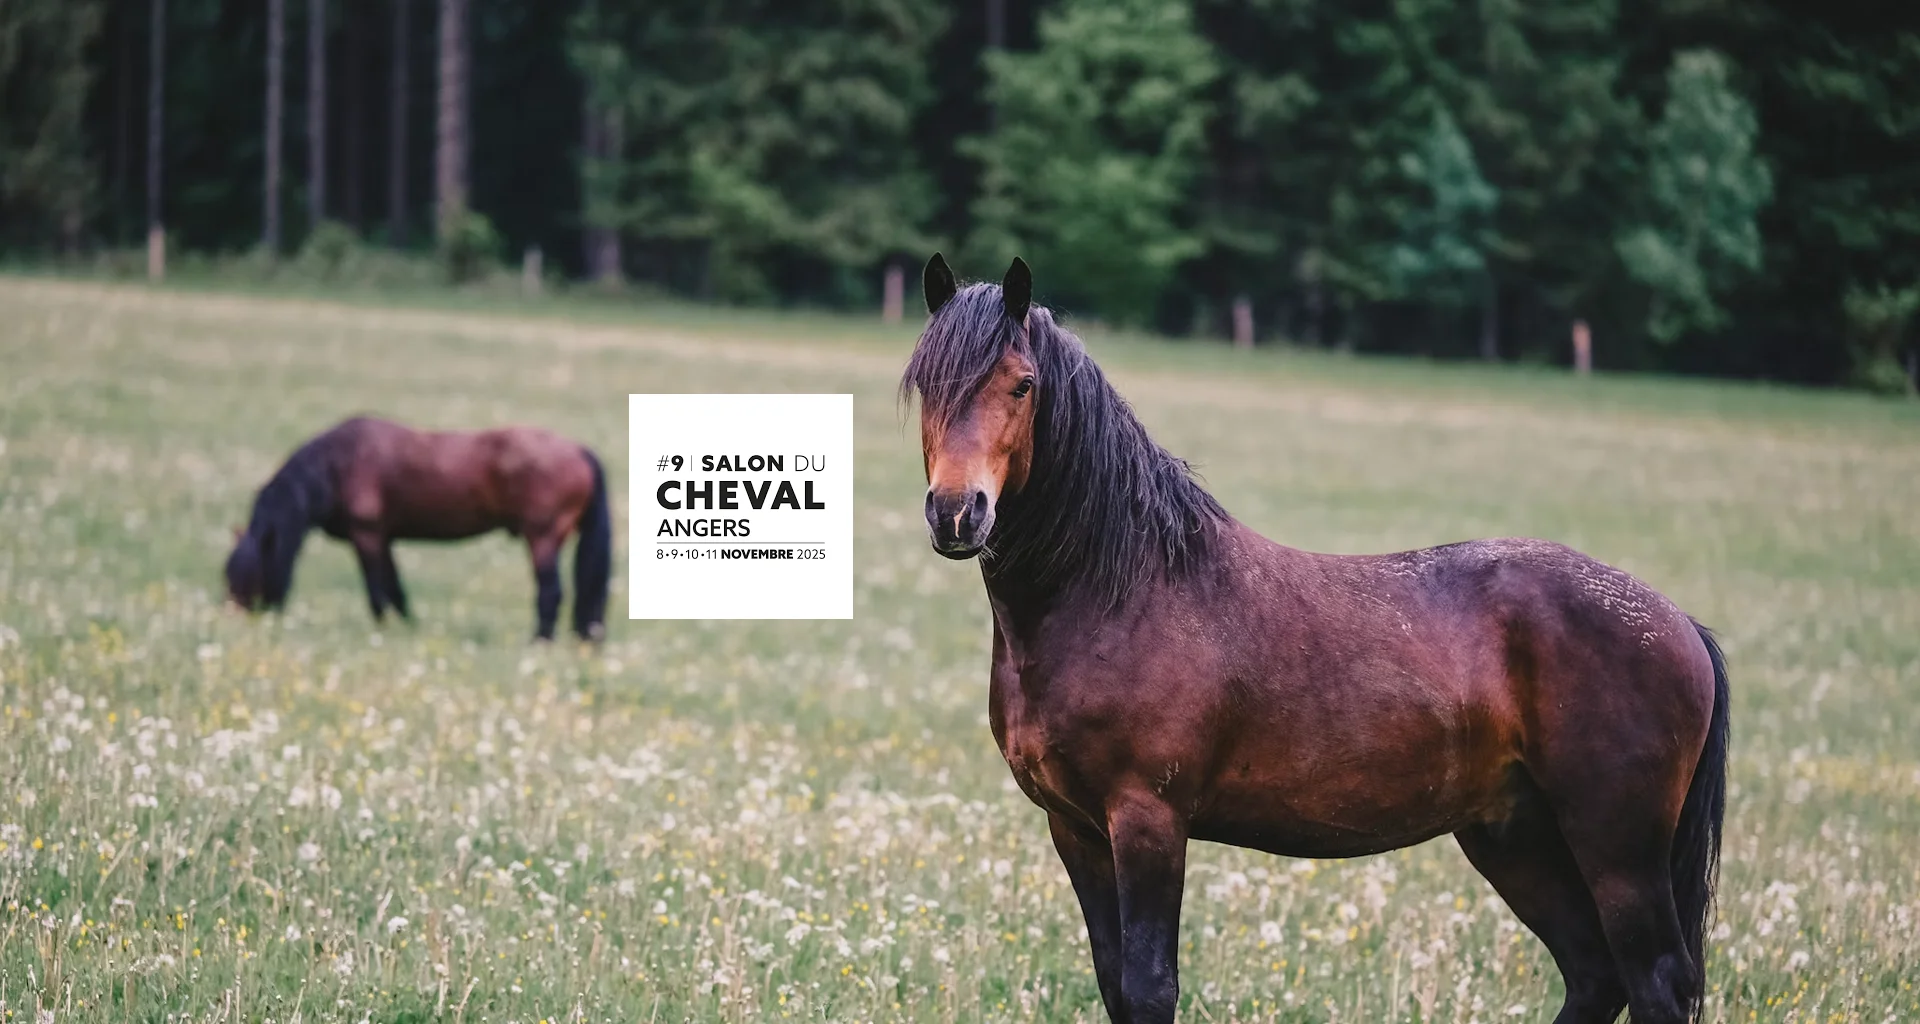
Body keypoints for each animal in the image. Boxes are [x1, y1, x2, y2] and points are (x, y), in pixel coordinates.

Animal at [224, 416, 612, 641]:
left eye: (246, 574)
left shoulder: (366, 537)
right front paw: (410, 629)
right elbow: (396, 590)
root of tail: (580, 450)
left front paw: (383, 632)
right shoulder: (384, 539)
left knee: (551, 593)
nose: (236, 621)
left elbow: (377, 593)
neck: (338, 465)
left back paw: (538, 642)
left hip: (542, 538)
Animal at [901, 254, 1730, 1024]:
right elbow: (1115, 985)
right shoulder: (1073, 828)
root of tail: (1680, 623)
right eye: (925, 385)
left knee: (1652, 979)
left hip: (1616, 850)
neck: (1122, 590)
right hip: (1516, 838)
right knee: (1594, 974)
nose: (957, 512)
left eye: (1022, 385)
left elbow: (1149, 987)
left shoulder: (1148, 822)